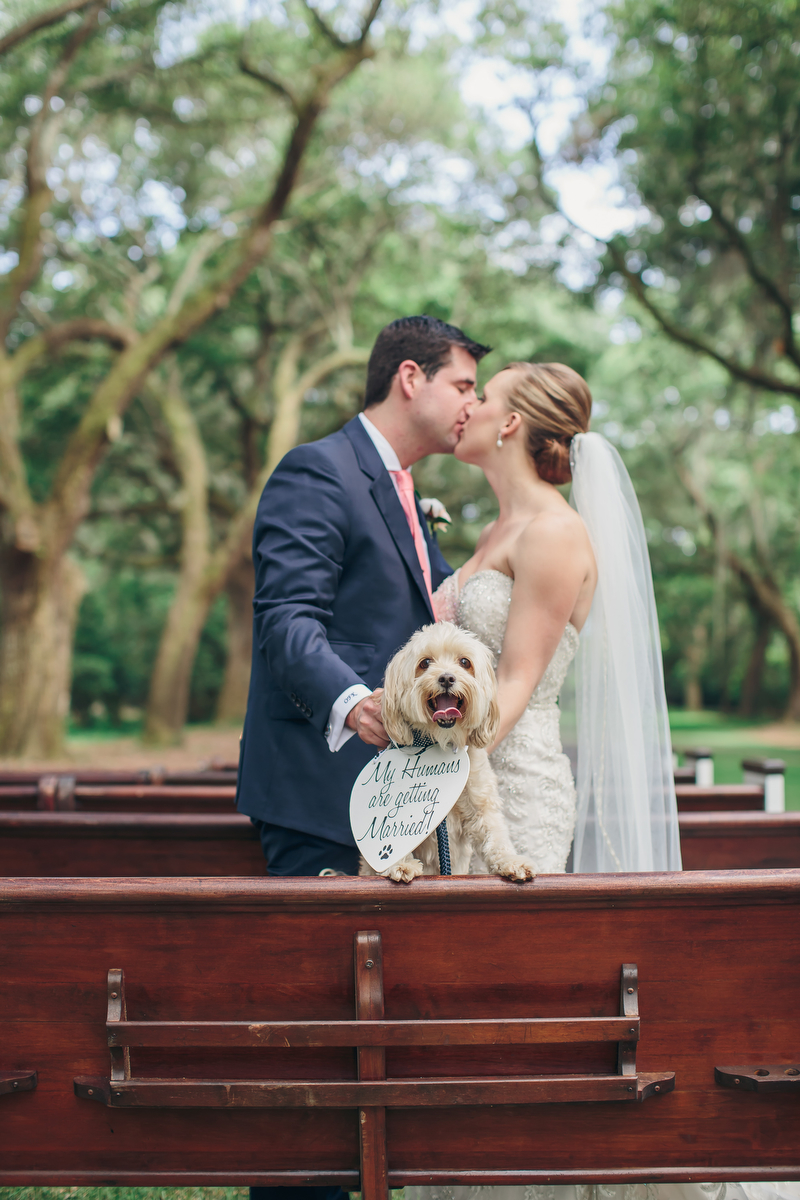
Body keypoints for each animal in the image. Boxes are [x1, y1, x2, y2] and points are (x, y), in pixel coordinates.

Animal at [357, 624, 537, 888]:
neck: (439, 742)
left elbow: (495, 834)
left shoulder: (482, 804)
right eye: (425, 663)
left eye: (464, 662)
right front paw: (398, 863)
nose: (446, 678)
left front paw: (511, 861)